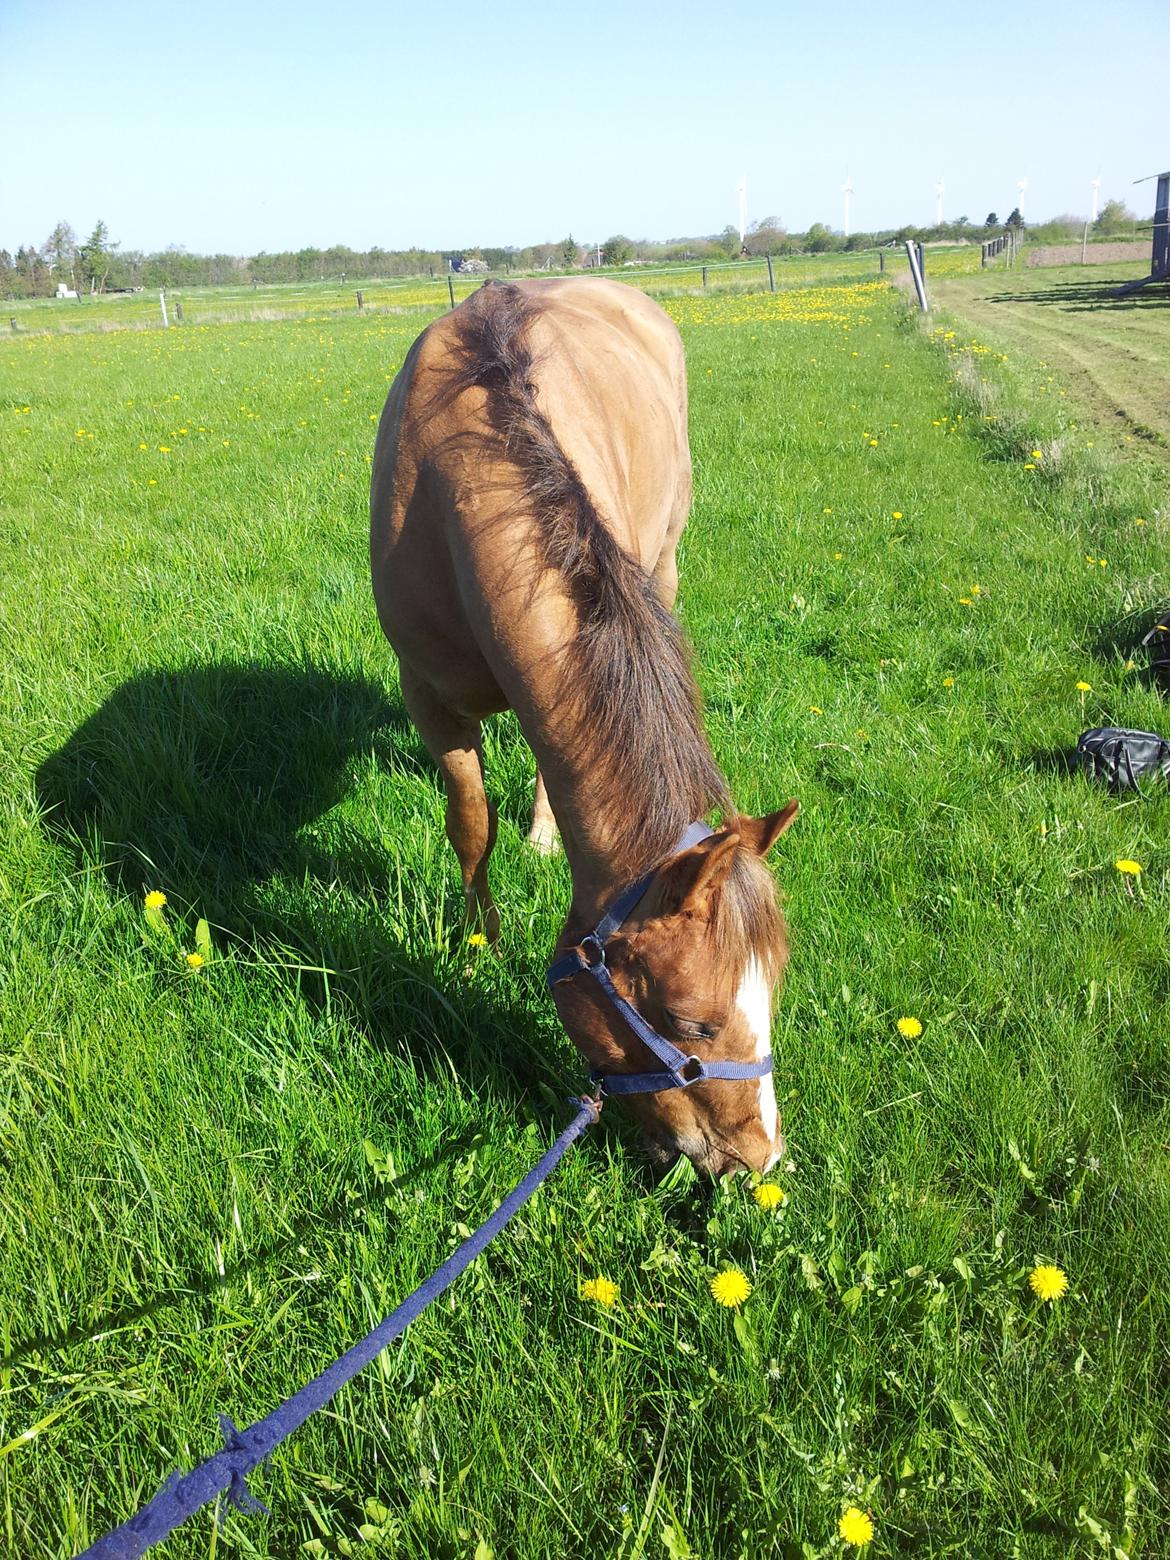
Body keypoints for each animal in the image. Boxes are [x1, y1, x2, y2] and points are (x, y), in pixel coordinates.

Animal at [371, 280, 804, 1173]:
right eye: (690, 1023)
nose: (761, 1161)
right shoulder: (428, 697)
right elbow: (470, 824)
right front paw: (481, 945)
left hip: (662, 564)